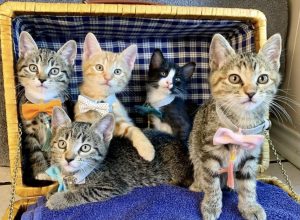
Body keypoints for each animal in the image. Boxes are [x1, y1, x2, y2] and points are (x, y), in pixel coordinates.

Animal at [17, 31, 77, 186]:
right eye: (33, 67)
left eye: (54, 71)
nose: (42, 79)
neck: (41, 104)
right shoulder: (28, 132)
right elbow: (35, 151)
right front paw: (42, 172)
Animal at [47, 107, 192, 211]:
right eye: (62, 144)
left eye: (85, 148)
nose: (68, 159)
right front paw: (53, 190)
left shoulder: (112, 185)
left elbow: (83, 192)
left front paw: (57, 199)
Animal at [74, 33, 155, 162]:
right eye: (99, 67)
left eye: (117, 71)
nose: (108, 78)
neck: (100, 102)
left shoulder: (120, 121)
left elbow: (133, 129)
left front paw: (146, 148)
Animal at [190, 33, 282, 220]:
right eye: (234, 78)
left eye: (262, 78)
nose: (251, 93)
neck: (241, 124)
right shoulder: (208, 153)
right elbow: (211, 181)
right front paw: (211, 205)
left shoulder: (251, 155)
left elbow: (248, 184)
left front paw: (249, 206)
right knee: (200, 173)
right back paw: (197, 185)